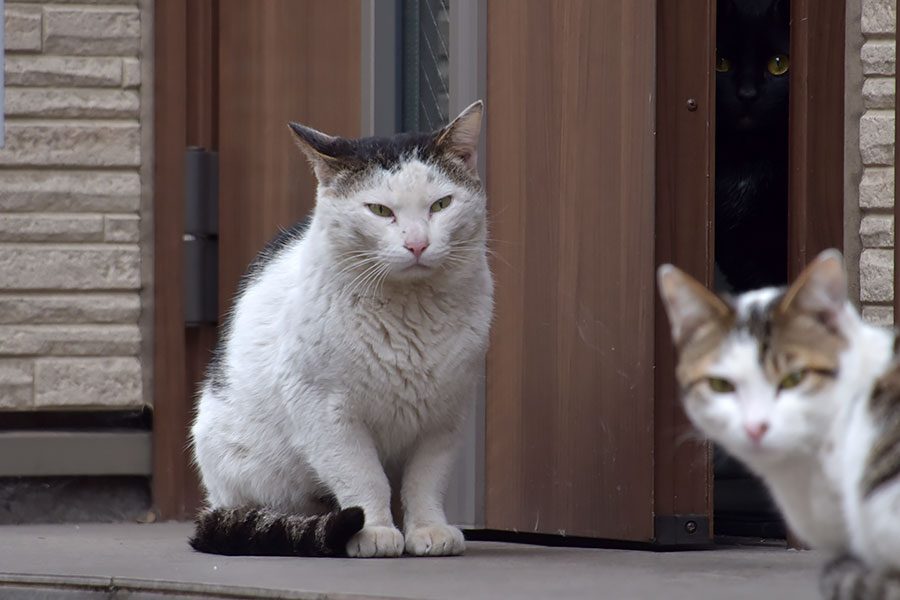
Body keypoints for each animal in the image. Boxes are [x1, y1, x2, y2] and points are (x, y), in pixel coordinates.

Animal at [191, 99, 496, 556]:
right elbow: (363, 477)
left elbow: (426, 480)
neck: (411, 313)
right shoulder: (325, 412)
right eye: (380, 210)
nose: (418, 243)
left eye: (441, 205)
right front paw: (374, 531)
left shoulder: (446, 417)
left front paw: (428, 529)